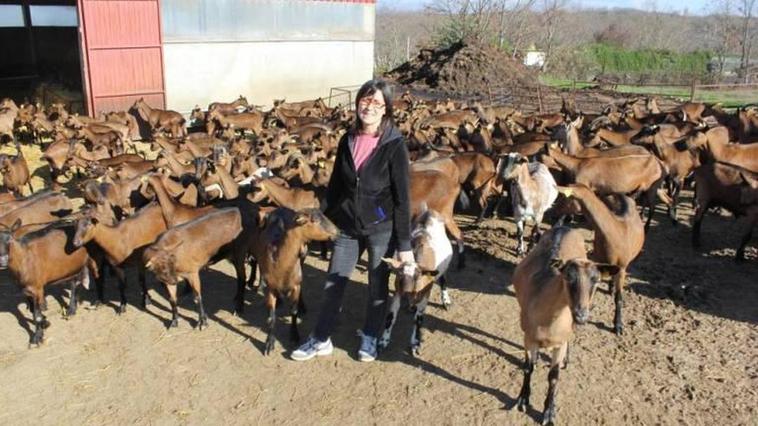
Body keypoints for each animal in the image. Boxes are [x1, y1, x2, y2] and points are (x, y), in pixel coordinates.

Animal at [512, 225, 620, 424]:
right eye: (568, 277)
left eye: (596, 280)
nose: (581, 315)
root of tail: (564, 227)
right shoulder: (528, 338)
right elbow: (528, 368)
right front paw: (523, 400)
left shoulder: (560, 343)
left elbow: (554, 377)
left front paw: (548, 412)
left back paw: (566, 359)